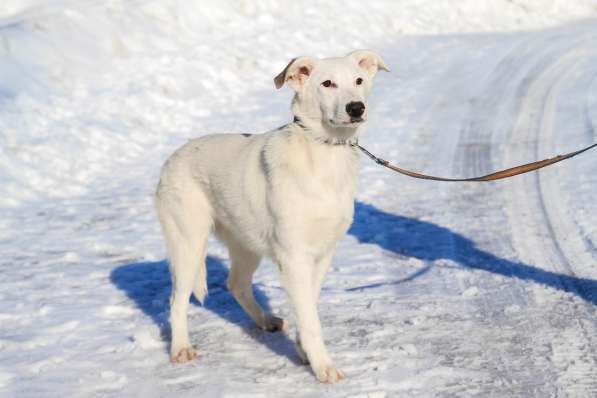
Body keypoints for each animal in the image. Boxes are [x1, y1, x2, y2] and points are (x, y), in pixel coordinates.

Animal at [155, 49, 386, 382]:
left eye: (358, 80)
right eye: (327, 84)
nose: (356, 107)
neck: (324, 152)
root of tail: (174, 157)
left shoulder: (321, 254)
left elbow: (308, 306)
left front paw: (304, 352)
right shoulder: (294, 257)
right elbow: (310, 318)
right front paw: (323, 366)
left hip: (245, 242)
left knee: (236, 284)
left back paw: (265, 321)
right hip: (188, 243)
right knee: (177, 300)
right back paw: (181, 348)